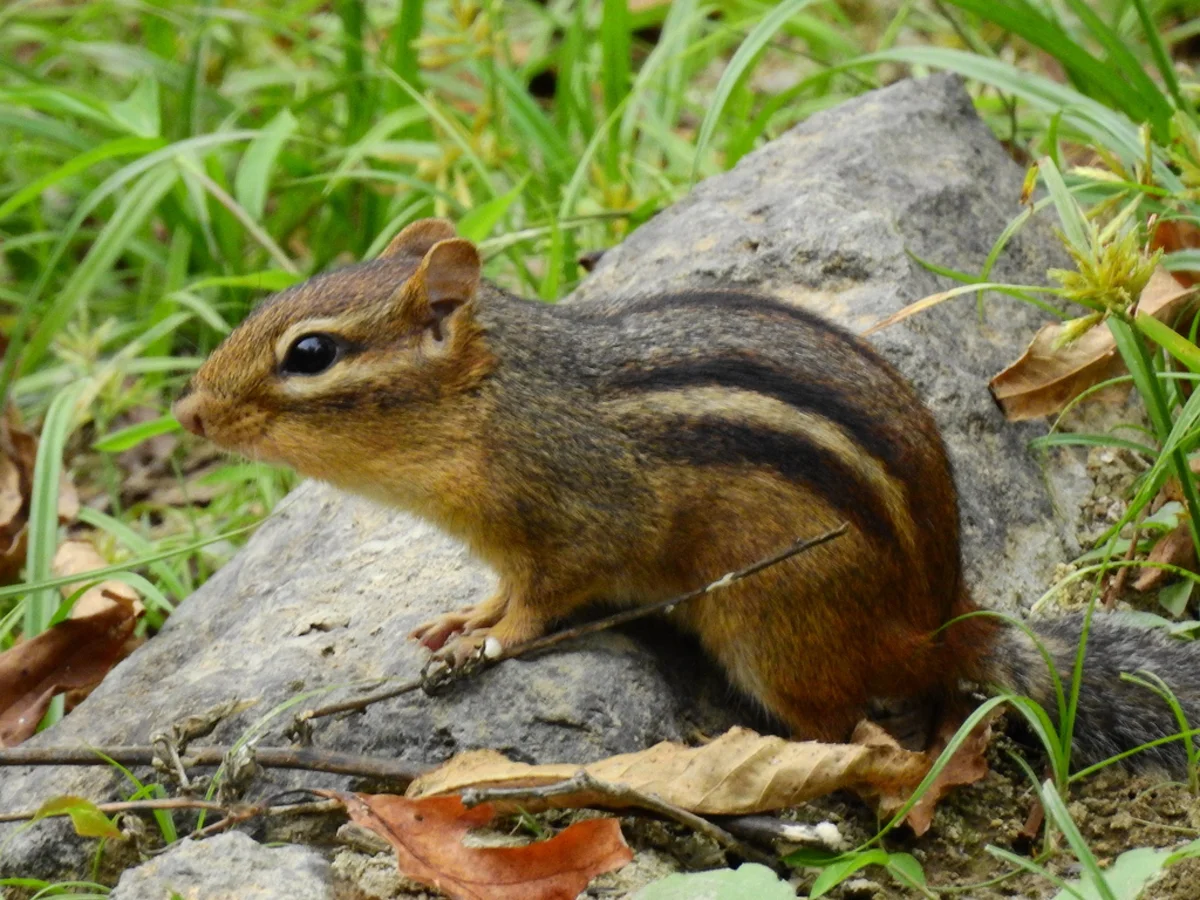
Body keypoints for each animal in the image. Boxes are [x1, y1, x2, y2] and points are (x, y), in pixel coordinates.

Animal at [174, 217, 1200, 769]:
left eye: (311, 352)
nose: (188, 411)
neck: (499, 403)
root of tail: (942, 621)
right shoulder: (516, 545)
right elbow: (504, 587)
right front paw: (465, 616)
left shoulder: (584, 520)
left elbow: (544, 601)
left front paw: (489, 643)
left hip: (774, 628)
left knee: (848, 728)